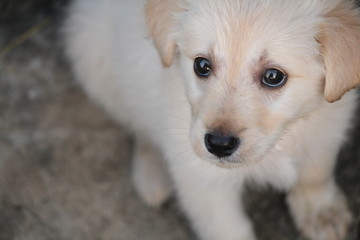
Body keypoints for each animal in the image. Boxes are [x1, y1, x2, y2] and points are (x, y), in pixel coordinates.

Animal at [64, 0, 360, 240]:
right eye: (202, 65)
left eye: (273, 76)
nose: (218, 144)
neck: (281, 141)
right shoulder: (202, 181)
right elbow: (227, 229)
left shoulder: (327, 128)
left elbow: (315, 172)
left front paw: (321, 211)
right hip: (94, 63)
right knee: (140, 127)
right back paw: (152, 173)